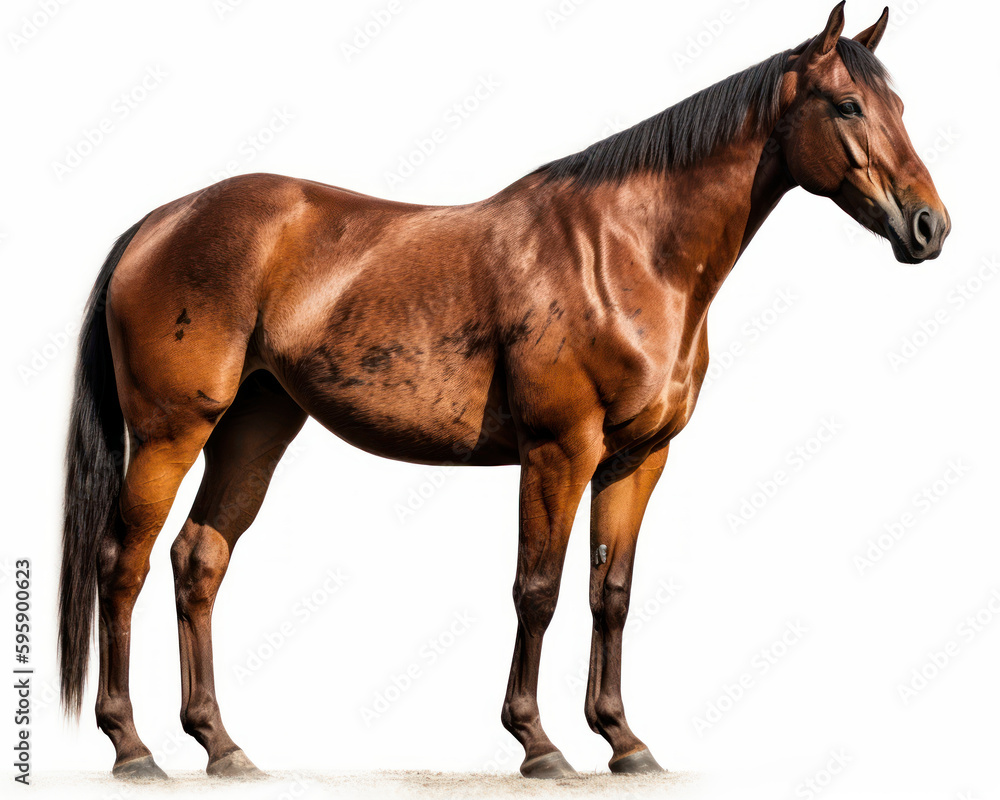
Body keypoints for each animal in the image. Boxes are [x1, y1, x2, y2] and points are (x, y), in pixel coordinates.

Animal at [58, 2, 949, 781]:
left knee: (198, 559)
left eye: (900, 105)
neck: (628, 253)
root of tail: (160, 222)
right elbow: (538, 590)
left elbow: (610, 593)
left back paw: (222, 747)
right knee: (123, 562)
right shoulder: (560, 450)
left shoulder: (638, 459)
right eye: (848, 104)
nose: (929, 226)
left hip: (254, 428)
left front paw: (624, 741)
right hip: (172, 433)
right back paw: (132, 747)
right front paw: (539, 744)